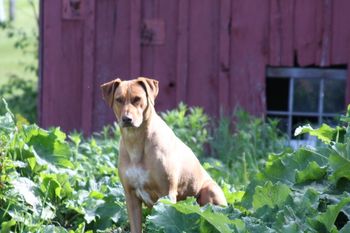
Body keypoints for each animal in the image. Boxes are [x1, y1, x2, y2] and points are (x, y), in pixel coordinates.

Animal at [101, 77, 227, 232]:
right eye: (118, 99)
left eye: (137, 99)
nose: (127, 119)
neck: (136, 141)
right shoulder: (130, 196)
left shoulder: (167, 193)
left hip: (210, 192)